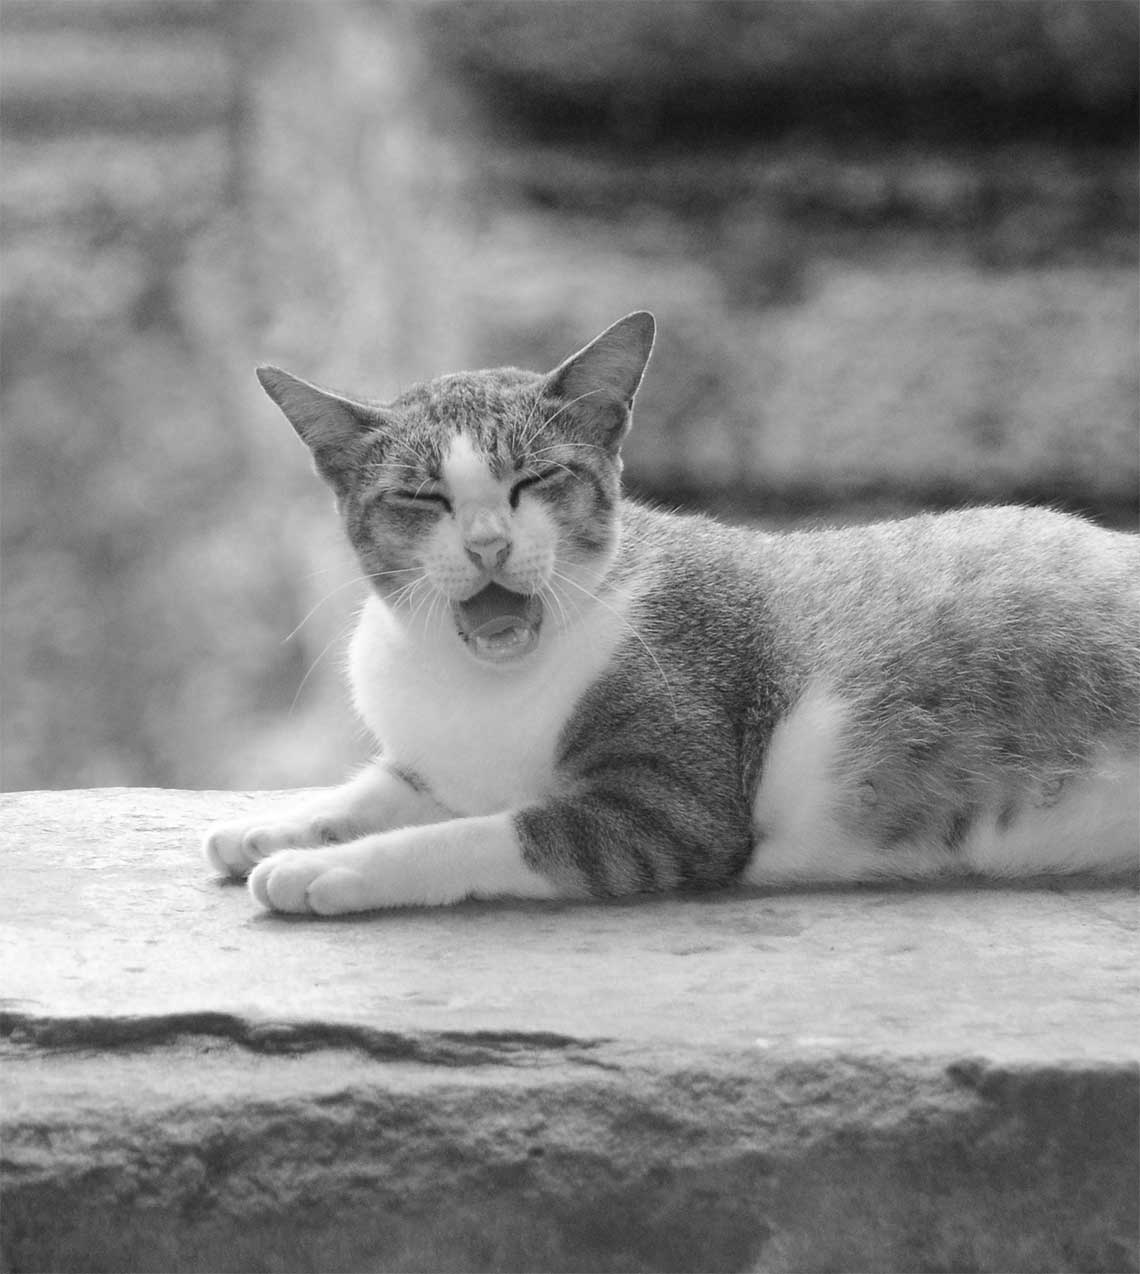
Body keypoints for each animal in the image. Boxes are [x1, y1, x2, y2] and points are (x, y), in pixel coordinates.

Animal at [207, 313, 1140, 922]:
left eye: (536, 481)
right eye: (422, 498)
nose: (487, 544)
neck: (475, 678)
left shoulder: (665, 813)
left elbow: (475, 835)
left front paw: (322, 867)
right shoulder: (439, 763)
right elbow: (381, 788)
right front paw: (271, 828)